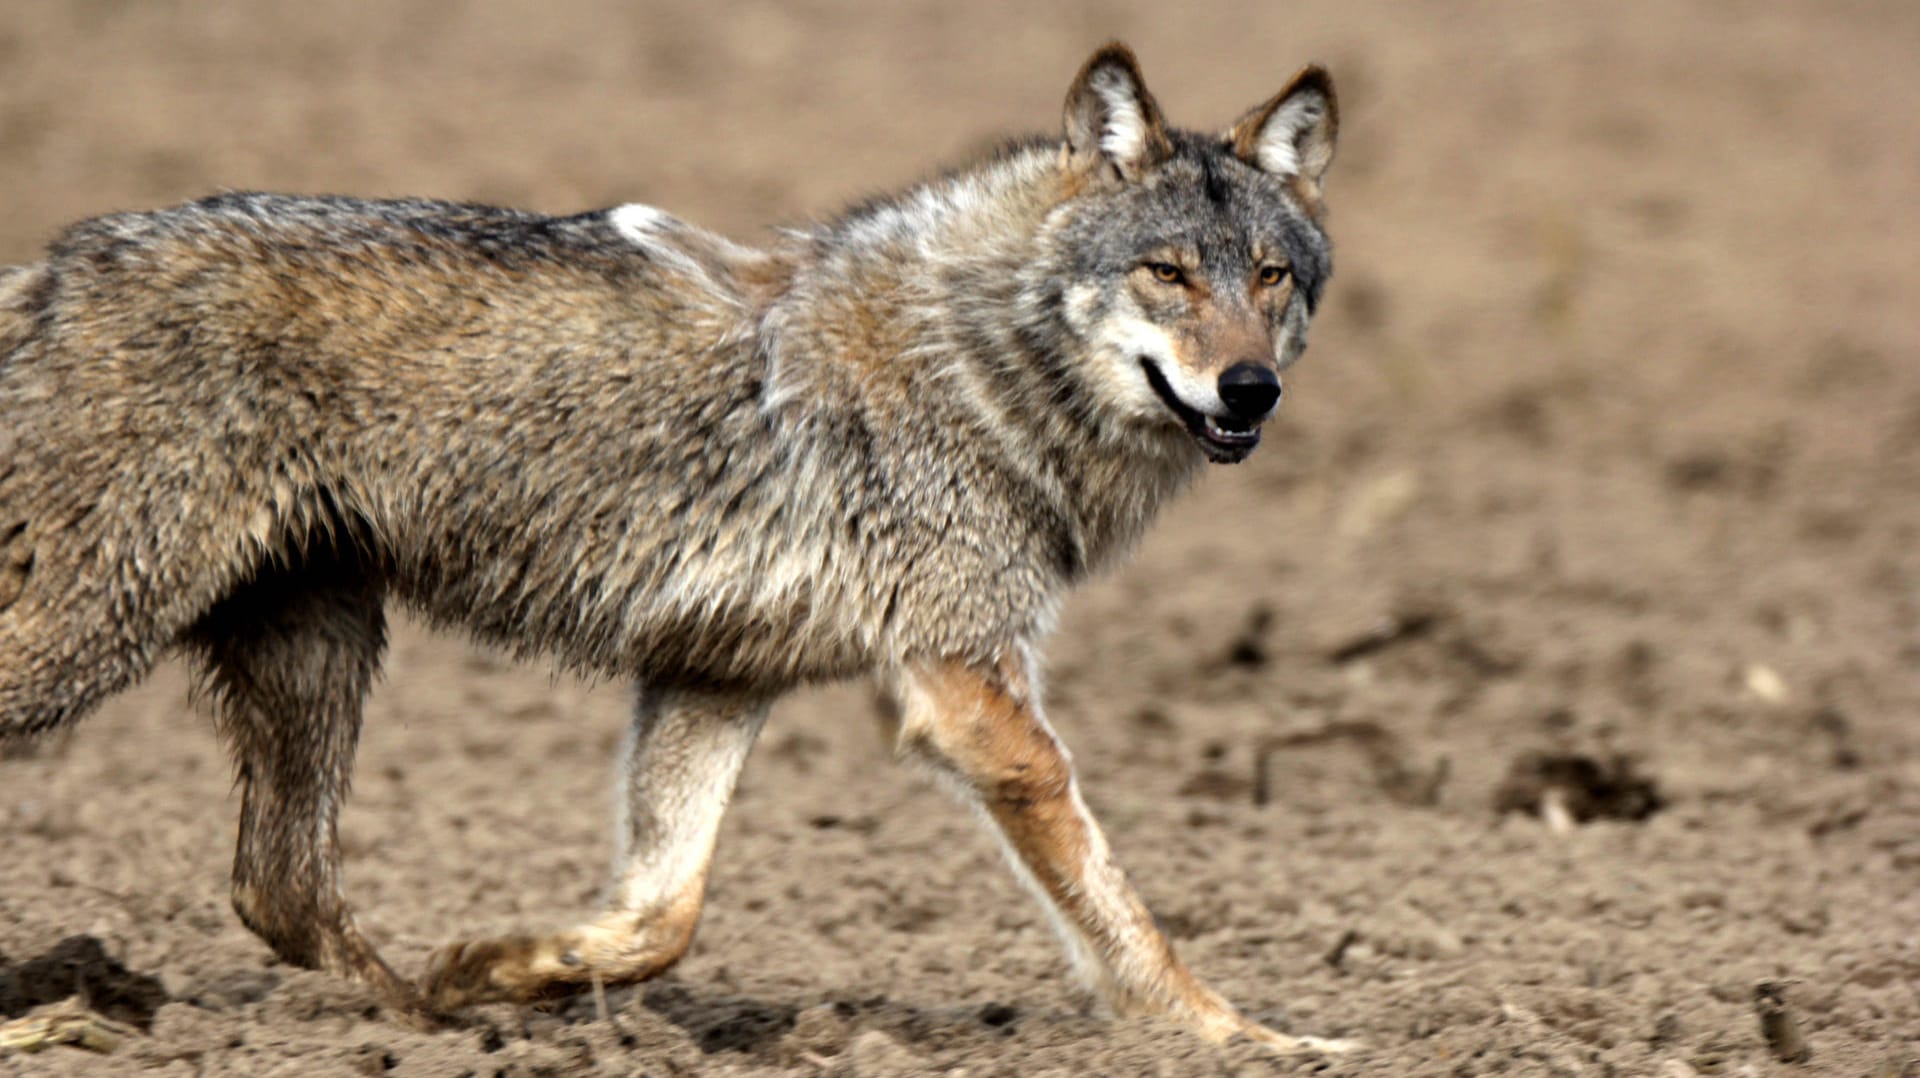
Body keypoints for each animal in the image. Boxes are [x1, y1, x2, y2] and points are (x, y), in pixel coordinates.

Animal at [0, 48, 1344, 1053]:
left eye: (1272, 277)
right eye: (1168, 274)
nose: (1253, 390)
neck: (975, 356)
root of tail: (52, 265)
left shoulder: (716, 677)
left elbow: (663, 913)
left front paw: (503, 969)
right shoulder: (969, 695)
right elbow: (1120, 911)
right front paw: (1240, 1039)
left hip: (316, 652)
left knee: (277, 891)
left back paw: (423, 1017)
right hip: (95, 645)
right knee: (270, 883)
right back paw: (58, 1027)